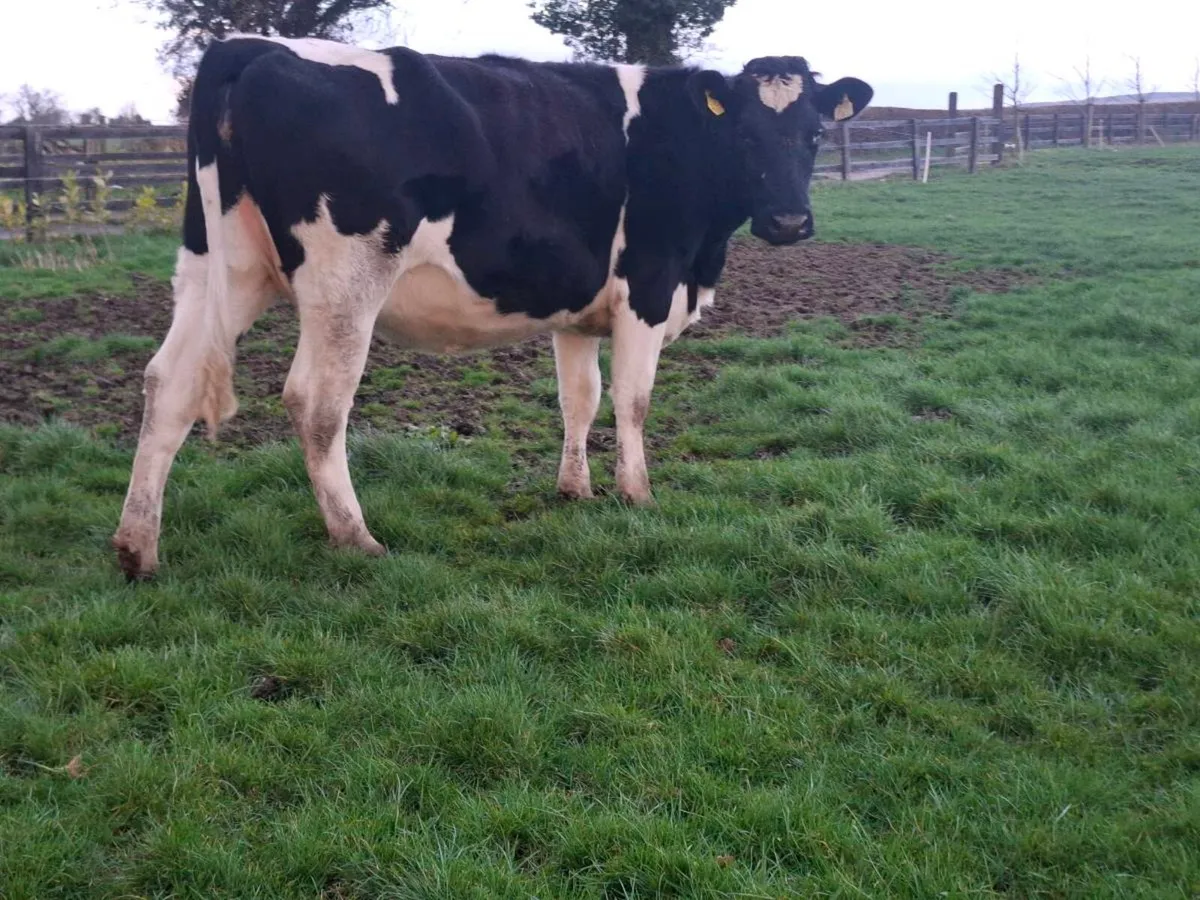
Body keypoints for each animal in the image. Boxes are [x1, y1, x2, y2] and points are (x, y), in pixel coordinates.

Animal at [111, 35, 873, 580]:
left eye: (813, 134)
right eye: (744, 134)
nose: (788, 221)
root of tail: (251, 46)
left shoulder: (577, 309)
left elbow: (579, 398)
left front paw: (575, 491)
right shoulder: (649, 286)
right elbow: (633, 399)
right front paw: (637, 495)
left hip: (223, 268)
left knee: (170, 383)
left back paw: (138, 548)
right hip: (344, 281)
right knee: (316, 401)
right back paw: (357, 537)